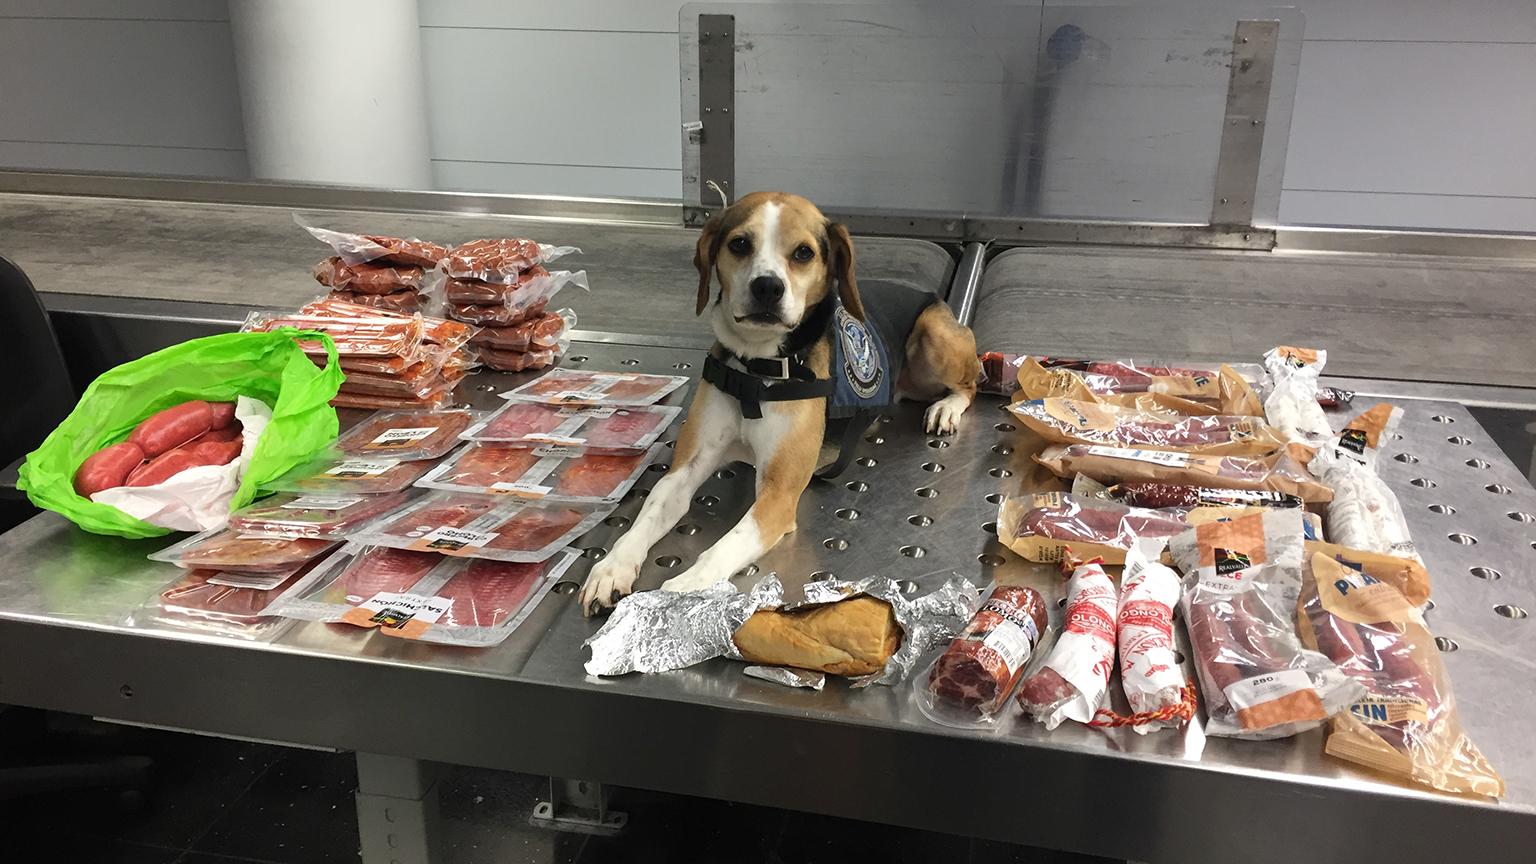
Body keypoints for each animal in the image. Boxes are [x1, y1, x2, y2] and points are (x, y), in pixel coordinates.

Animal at [577, 192, 983, 614]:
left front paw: (681, 590)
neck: (758, 371)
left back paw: (947, 408)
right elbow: (647, 515)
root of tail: (931, 297)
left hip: (935, 335)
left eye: (803, 253)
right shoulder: (684, 469)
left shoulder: (778, 495)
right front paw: (612, 568)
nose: (767, 287)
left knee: (973, 382)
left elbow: (723, 548)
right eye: (739, 244)